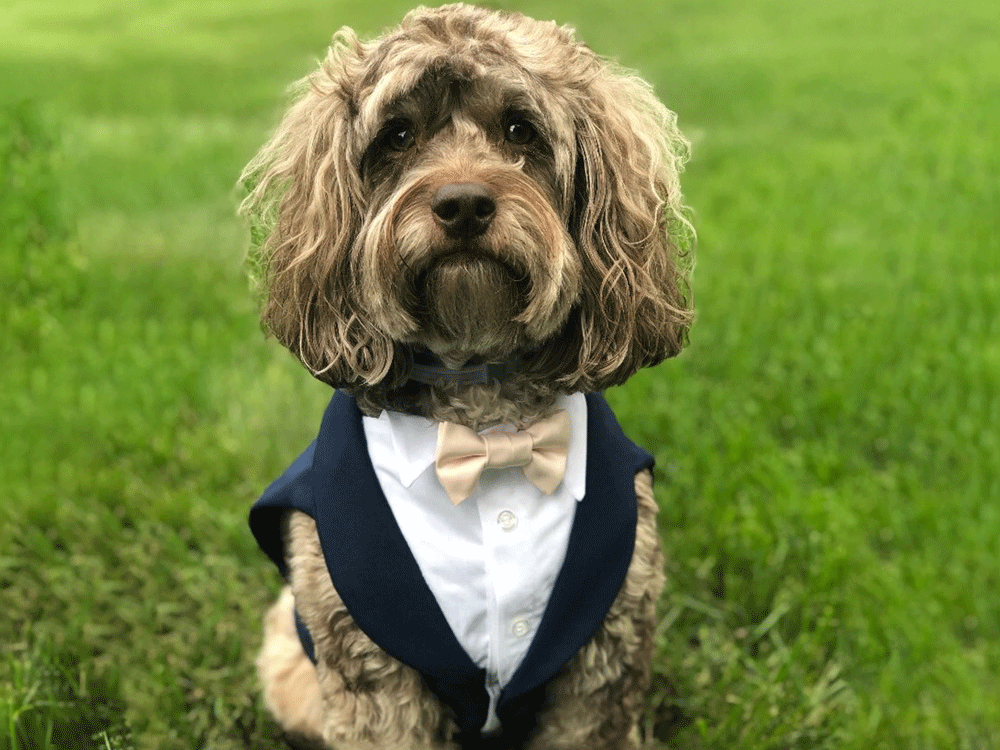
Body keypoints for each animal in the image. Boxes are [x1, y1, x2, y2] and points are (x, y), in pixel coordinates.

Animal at [243, 2, 696, 748]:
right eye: (398, 135)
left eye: (519, 129)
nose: (462, 203)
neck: (488, 431)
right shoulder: (371, 670)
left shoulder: (603, 657)